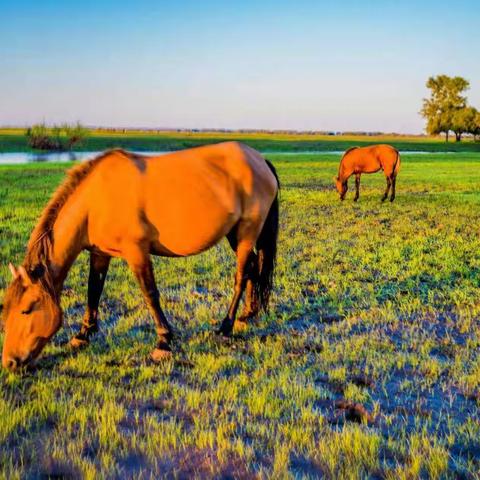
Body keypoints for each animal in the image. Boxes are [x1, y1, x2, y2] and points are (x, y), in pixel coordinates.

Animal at [1, 142, 280, 372]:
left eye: (26, 310)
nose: (10, 362)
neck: (97, 199)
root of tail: (260, 160)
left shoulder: (136, 252)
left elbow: (150, 294)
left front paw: (164, 342)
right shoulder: (100, 254)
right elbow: (94, 291)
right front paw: (83, 334)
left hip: (247, 232)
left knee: (241, 274)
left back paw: (226, 326)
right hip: (235, 234)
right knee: (253, 267)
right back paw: (249, 314)